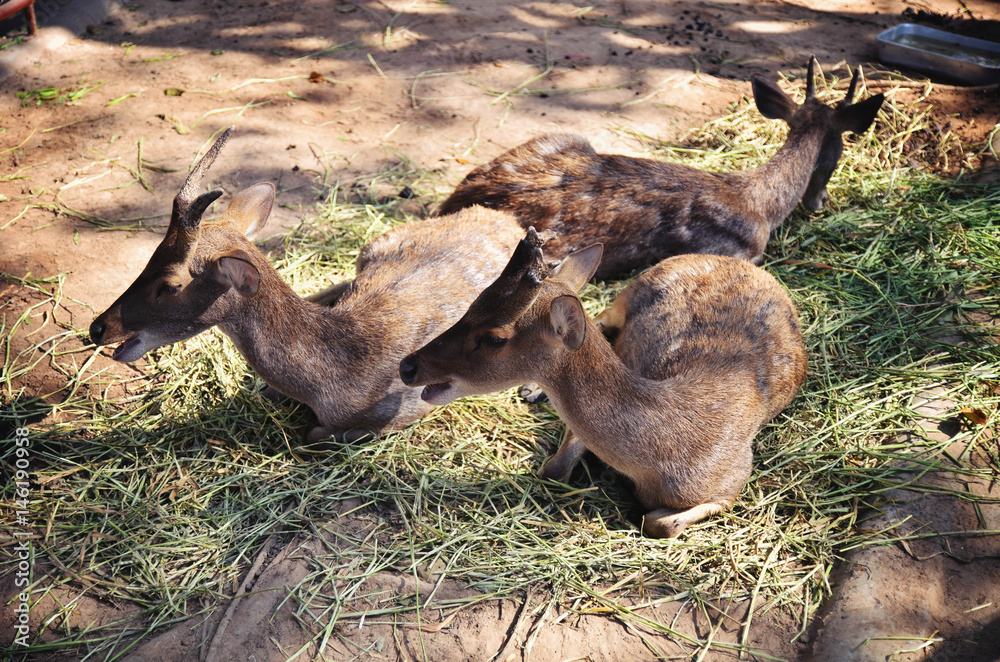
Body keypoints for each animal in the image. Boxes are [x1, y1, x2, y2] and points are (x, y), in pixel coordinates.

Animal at [90, 127, 524, 444]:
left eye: (169, 284)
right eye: (150, 257)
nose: (98, 328)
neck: (325, 382)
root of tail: (507, 219)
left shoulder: (401, 411)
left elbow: (315, 433)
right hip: (373, 245)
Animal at [396, 228, 804, 540]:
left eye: (496, 337)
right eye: (472, 303)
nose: (408, 367)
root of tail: (740, 263)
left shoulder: (735, 480)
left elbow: (661, 524)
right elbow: (554, 468)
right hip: (626, 294)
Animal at [438, 57, 884, 282]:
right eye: (841, 148)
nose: (819, 202)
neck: (761, 204)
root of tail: (451, 201)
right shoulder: (735, 251)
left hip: (563, 137)